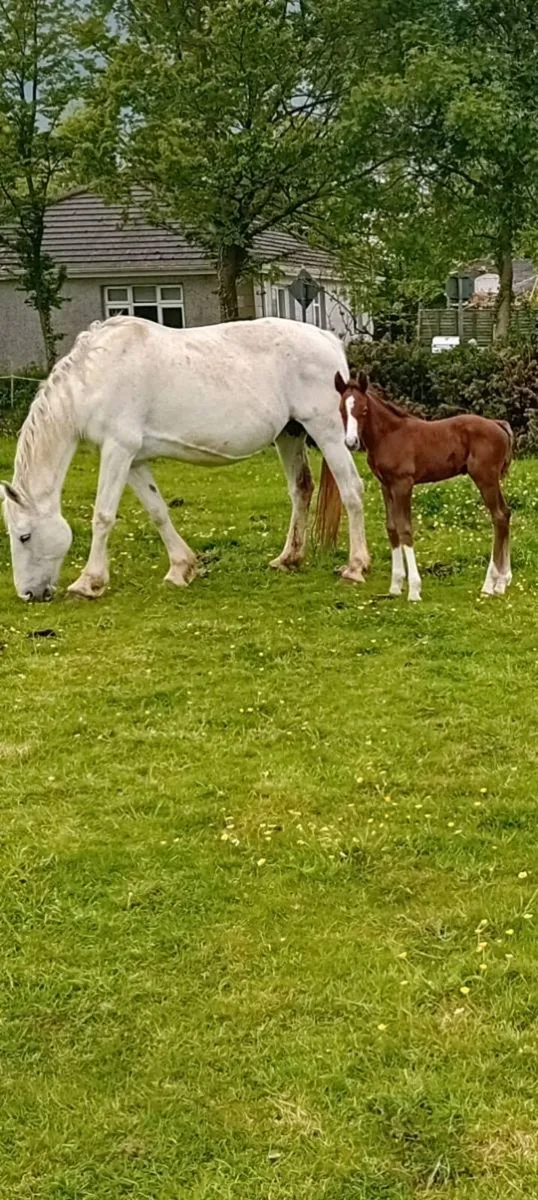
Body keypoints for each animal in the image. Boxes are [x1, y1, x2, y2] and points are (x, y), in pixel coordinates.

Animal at [1, 316, 369, 602]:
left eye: (24, 536)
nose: (28, 594)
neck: (93, 379)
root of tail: (328, 340)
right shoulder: (133, 460)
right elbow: (158, 511)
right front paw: (181, 569)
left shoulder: (118, 449)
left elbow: (103, 517)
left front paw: (88, 582)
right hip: (289, 435)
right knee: (301, 489)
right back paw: (289, 558)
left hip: (327, 431)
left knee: (352, 490)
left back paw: (356, 566)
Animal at [315, 370, 512, 601]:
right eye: (341, 410)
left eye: (363, 410)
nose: (351, 442)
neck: (389, 435)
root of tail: (498, 424)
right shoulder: (386, 485)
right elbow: (392, 527)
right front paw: (395, 585)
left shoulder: (403, 484)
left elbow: (405, 528)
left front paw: (414, 590)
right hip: (492, 480)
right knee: (505, 513)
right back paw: (502, 582)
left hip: (485, 478)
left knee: (498, 517)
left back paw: (489, 585)